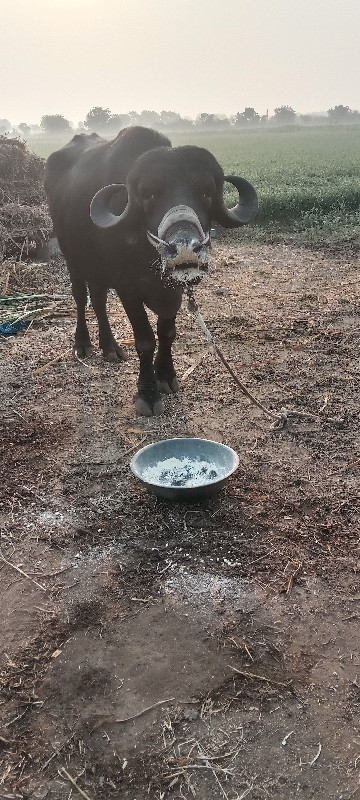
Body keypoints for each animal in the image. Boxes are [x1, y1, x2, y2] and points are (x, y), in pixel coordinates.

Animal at [45, 128, 258, 416]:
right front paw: (147, 393)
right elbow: (145, 339)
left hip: (98, 268)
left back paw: (110, 347)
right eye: (149, 194)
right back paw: (83, 343)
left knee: (99, 300)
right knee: (81, 298)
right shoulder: (128, 289)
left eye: (207, 192)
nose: (185, 249)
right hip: (73, 260)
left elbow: (167, 332)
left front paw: (166, 375)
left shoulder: (174, 291)